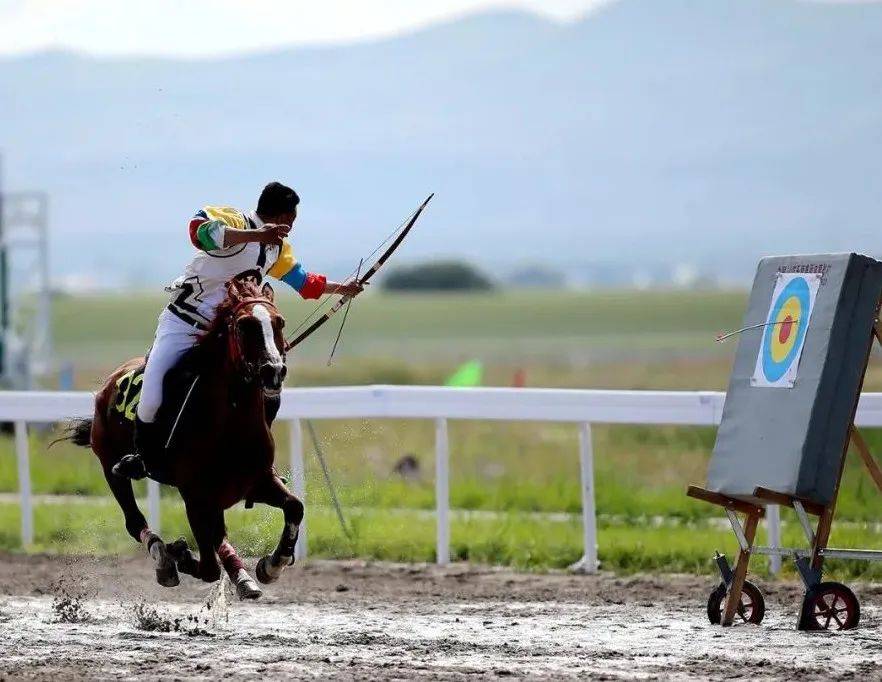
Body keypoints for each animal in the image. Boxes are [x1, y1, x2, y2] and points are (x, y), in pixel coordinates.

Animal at [59, 276, 302, 596]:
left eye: (279, 322)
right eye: (244, 325)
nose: (273, 371)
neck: (230, 425)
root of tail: (109, 382)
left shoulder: (255, 482)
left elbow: (295, 507)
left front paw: (272, 565)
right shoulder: (195, 495)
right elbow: (209, 567)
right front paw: (180, 553)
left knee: (218, 535)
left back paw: (239, 575)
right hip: (110, 465)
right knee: (134, 521)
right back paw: (163, 557)